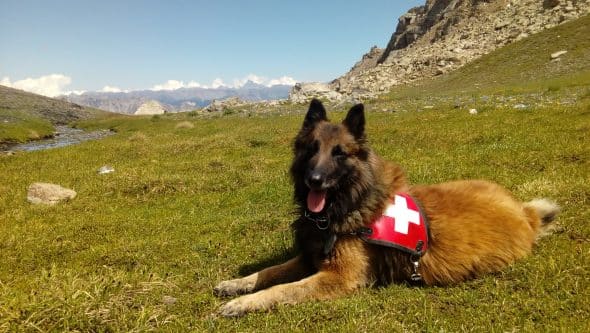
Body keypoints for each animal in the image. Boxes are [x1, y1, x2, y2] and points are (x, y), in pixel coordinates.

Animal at [214, 98, 560, 316]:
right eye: (312, 149)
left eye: (339, 153)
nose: (314, 180)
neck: (350, 202)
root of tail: (525, 213)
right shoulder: (309, 257)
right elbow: (268, 272)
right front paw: (236, 285)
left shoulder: (337, 276)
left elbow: (282, 289)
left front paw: (244, 304)